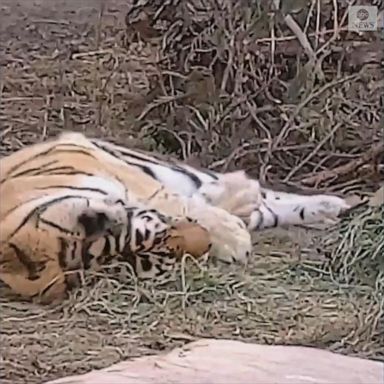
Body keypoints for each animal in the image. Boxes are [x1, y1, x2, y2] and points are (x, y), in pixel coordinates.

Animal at [0, 130, 350, 304]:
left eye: (155, 229)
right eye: (158, 259)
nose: (204, 245)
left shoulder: (100, 163)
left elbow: (174, 200)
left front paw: (233, 238)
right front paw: (231, 236)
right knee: (262, 209)